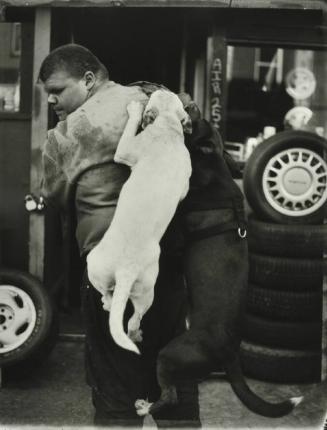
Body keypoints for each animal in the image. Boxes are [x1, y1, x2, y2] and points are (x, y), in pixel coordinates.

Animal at [87, 90, 193, 352]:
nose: (157, 89)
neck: (168, 127)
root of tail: (126, 269)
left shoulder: (125, 149)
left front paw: (134, 110)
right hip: (111, 275)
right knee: (118, 301)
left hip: (117, 275)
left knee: (125, 312)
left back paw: (128, 328)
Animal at [135, 119, 302, 418]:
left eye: (192, 124)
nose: (189, 111)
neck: (214, 169)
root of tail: (230, 354)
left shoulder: (177, 234)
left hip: (170, 354)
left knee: (171, 397)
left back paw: (147, 407)